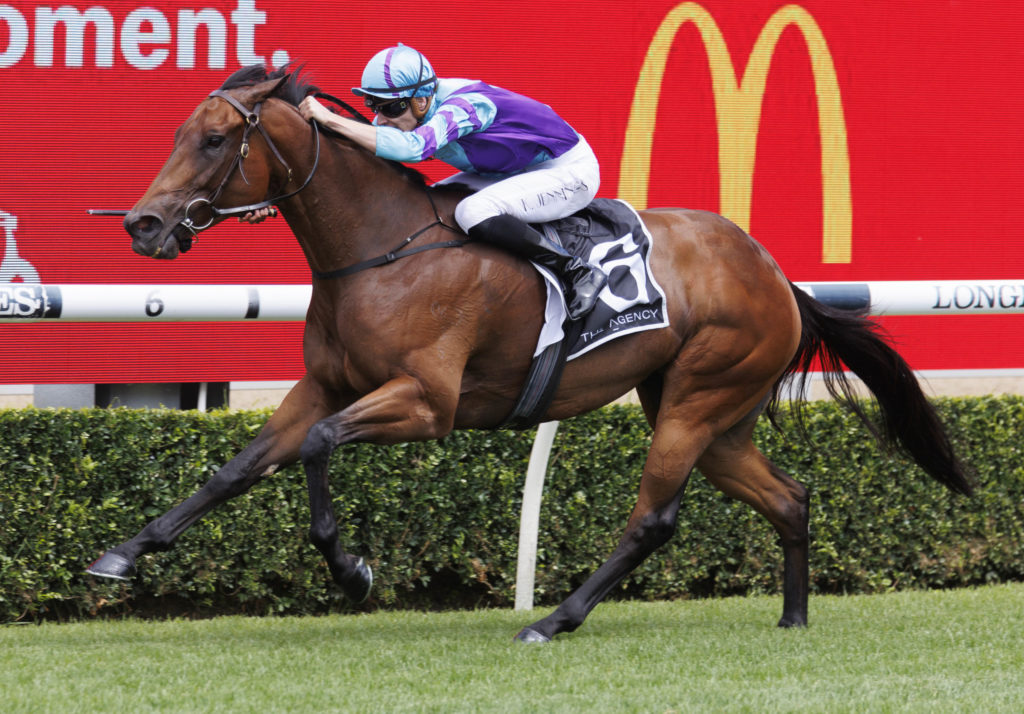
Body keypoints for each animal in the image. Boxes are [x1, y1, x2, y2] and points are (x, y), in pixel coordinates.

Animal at [87, 65, 973, 642]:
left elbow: (318, 446)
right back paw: (792, 616)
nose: (143, 225)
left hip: (696, 399)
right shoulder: (323, 384)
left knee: (654, 519)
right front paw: (123, 554)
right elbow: (237, 469)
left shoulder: (427, 402)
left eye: (212, 140)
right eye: (179, 133)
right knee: (789, 497)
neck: (379, 250)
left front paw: (352, 570)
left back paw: (555, 620)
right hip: (715, 415)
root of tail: (776, 274)